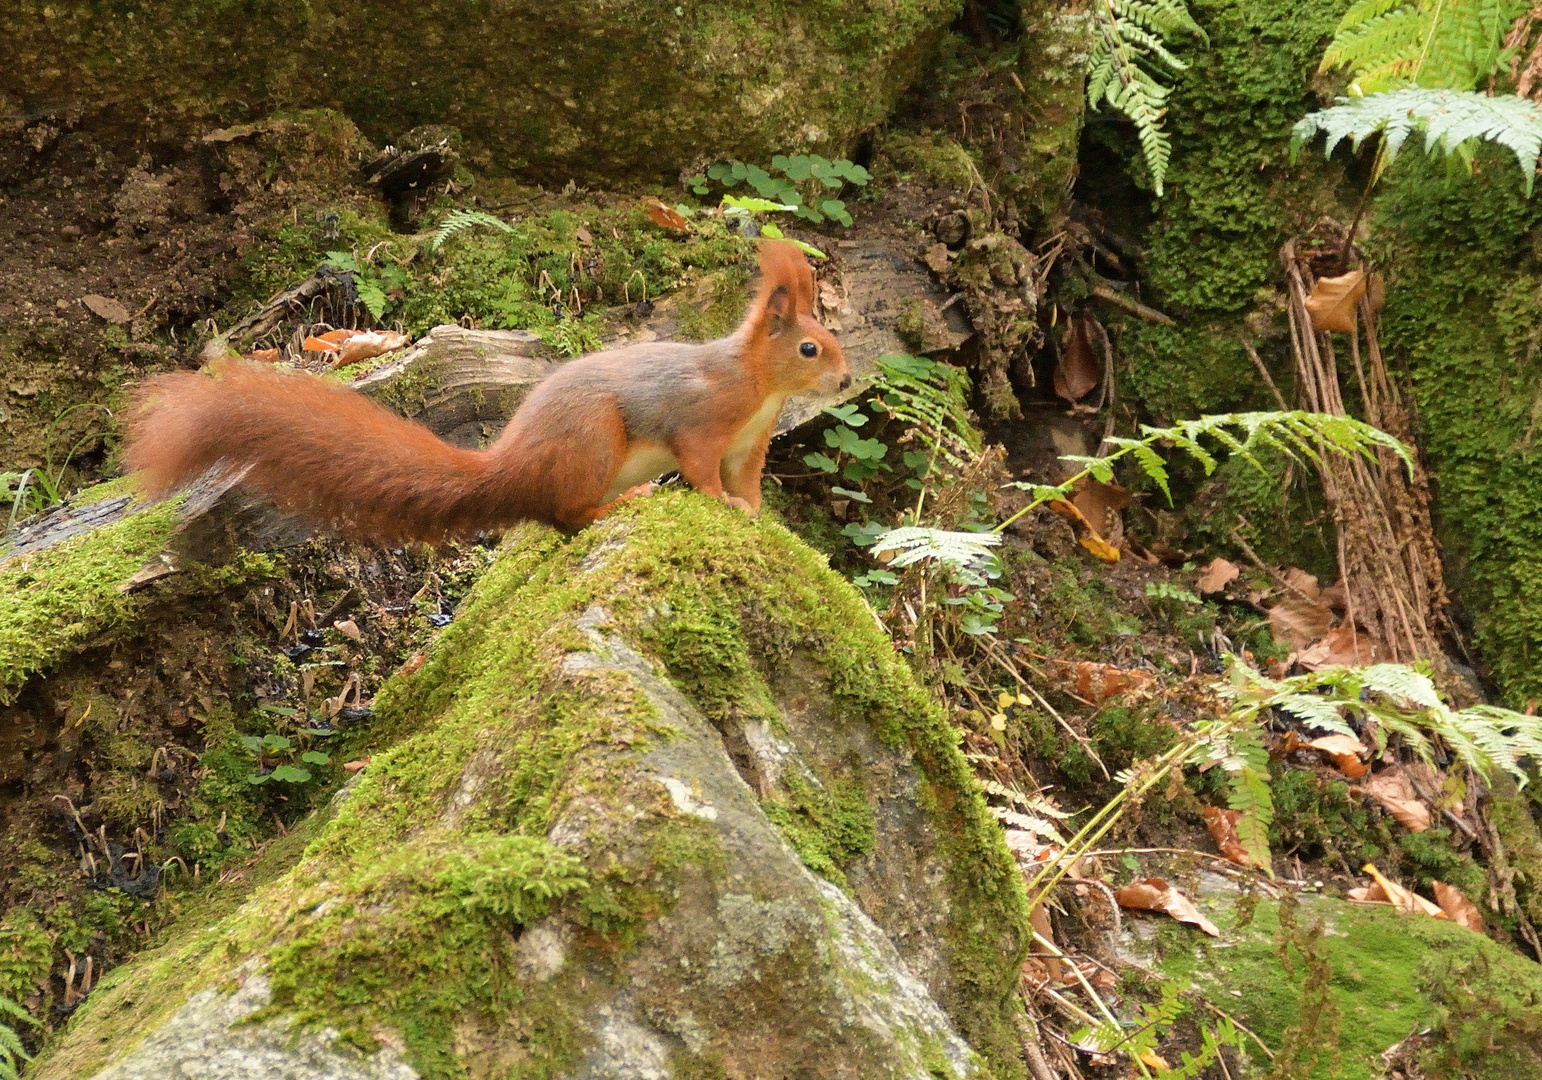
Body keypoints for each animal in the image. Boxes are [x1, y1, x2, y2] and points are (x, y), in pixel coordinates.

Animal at [124, 237, 851, 536]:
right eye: (810, 347)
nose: (845, 378)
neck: (758, 386)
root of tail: (512, 467)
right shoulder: (700, 422)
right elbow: (699, 469)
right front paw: (722, 505)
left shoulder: (749, 446)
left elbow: (746, 482)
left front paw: (753, 512)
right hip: (593, 446)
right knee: (567, 515)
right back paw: (623, 502)